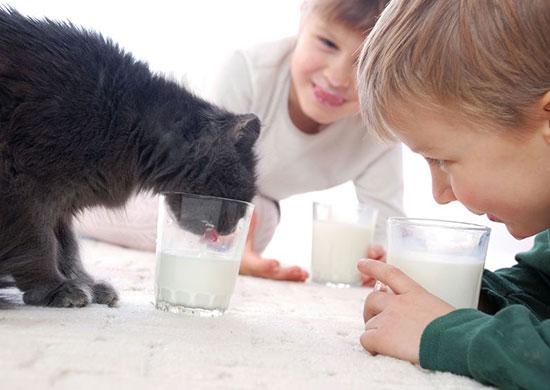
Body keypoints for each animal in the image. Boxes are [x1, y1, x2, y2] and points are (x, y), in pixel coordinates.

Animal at [0, 8, 260, 308]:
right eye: (245, 193)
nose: (234, 228)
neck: (128, 125)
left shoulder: (63, 203)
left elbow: (68, 247)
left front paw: (86, 284)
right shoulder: (21, 184)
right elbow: (40, 242)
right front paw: (55, 288)